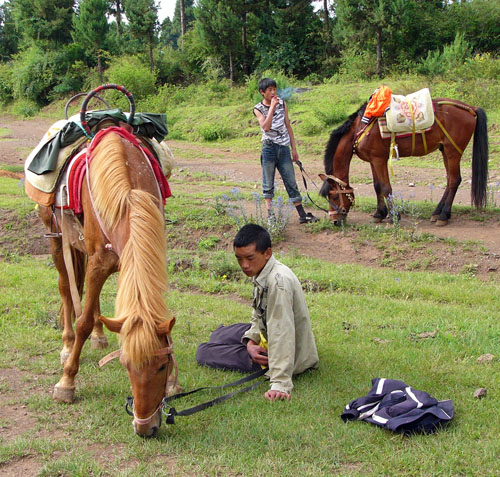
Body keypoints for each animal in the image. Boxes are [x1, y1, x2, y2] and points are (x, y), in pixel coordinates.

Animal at [39, 128, 177, 436]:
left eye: (162, 366)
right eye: (126, 366)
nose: (145, 428)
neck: (127, 196)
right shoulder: (97, 263)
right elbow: (83, 321)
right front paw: (66, 383)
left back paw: (100, 337)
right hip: (57, 241)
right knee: (66, 290)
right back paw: (67, 347)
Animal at [320, 98, 488, 225]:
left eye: (334, 197)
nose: (335, 221)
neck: (360, 129)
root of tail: (470, 108)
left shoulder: (378, 159)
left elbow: (385, 187)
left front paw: (394, 216)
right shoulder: (372, 160)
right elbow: (377, 186)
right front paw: (379, 213)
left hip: (453, 152)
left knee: (454, 180)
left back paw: (443, 215)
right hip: (445, 151)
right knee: (450, 180)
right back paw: (437, 212)